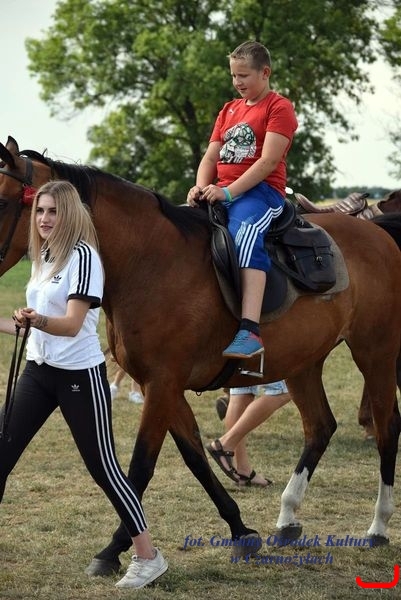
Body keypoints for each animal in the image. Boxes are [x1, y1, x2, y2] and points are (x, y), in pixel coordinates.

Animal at [1, 136, 401, 577]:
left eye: (2, 200)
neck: (150, 261)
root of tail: (377, 234)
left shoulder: (162, 383)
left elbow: (140, 467)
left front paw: (114, 549)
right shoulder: (163, 385)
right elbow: (194, 457)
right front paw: (241, 531)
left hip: (375, 352)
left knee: (387, 428)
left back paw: (378, 525)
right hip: (304, 363)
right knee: (320, 428)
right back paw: (287, 518)